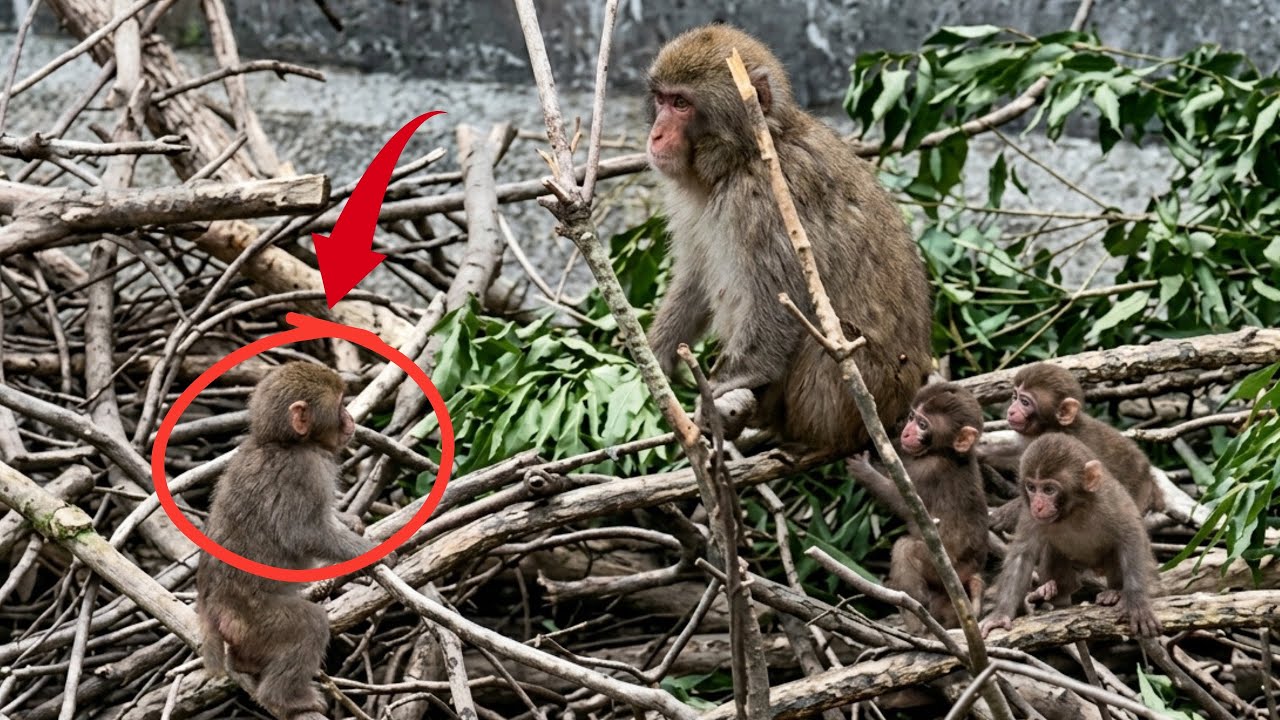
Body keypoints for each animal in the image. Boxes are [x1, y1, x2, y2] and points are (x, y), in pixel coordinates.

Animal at [196, 362, 388, 720]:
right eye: (339, 405)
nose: (350, 418)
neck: (282, 443)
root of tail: (211, 610)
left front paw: (350, 522)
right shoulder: (304, 471)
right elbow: (304, 533)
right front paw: (371, 554)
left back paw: (245, 665)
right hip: (255, 621)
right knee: (309, 624)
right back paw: (284, 699)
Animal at [644, 24, 933, 452]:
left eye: (681, 103)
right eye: (661, 99)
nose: (656, 134)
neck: (747, 153)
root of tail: (903, 403)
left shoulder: (764, 201)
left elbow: (778, 301)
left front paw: (726, 385)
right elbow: (695, 276)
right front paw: (656, 354)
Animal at [846, 382, 989, 631]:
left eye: (923, 425)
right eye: (912, 417)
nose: (907, 432)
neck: (944, 452)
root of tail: (973, 571)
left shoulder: (929, 470)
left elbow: (902, 500)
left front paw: (864, 471)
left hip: (943, 569)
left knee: (905, 548)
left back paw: (917, 622)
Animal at [979, 433, 1162, 638]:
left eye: (1049, 490)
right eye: (1031, 488)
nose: (1038, 506)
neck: (1073, 510)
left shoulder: (1109, 500)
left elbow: (1131, 534)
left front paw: (1137, 601)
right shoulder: (1029, 514)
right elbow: (1022, 554)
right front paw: (1001, 614)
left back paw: (1115, 592)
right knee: (1053, 551)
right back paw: (1050, 593)